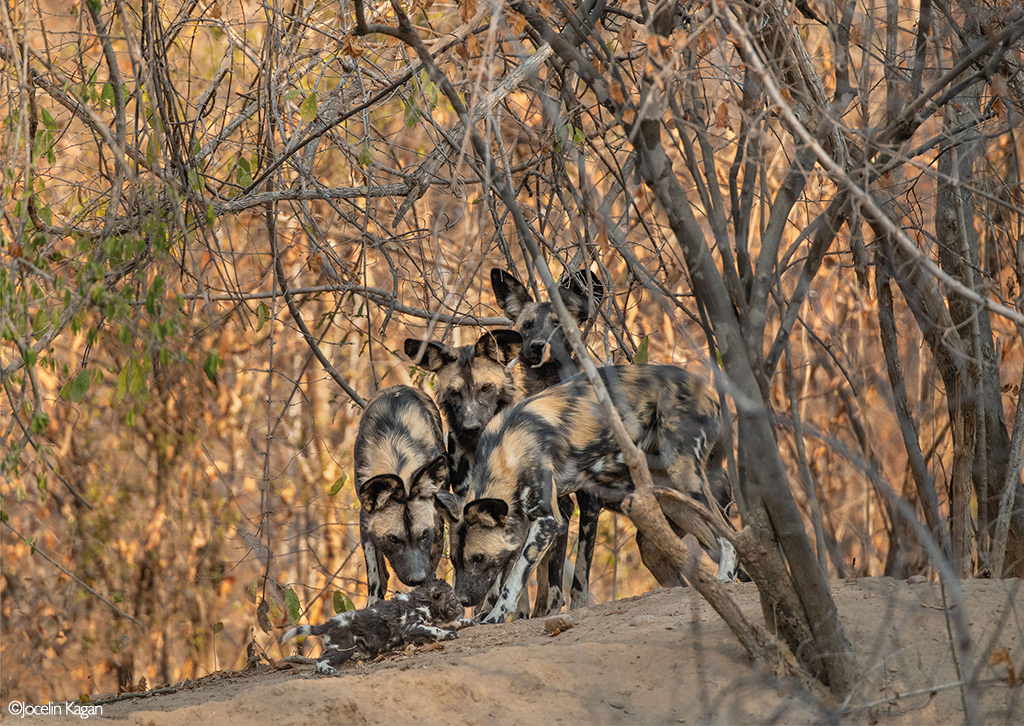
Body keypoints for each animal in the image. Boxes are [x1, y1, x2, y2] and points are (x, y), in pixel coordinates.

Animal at [284, 577, 468, 675]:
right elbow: (435, 629)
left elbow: (451, 623)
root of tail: (330, 622)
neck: (420, 601)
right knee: (320, 660)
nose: (462, 606)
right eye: (453, 599)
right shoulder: (411, 627)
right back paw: (327, 670)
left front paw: (467, 621)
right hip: (345, 648)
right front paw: (449, 634)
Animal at [354, 387, 450, 602]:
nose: (417, 578)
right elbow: (375, 577)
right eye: (393, 539)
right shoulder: (366, 522)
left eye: (424, 534)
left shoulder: (436, 521)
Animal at [452, 362, 741, 622]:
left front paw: (495, 616)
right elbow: (502, 577)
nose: (462, 600)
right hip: (671, 492)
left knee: (727, 534)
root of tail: (706, 388)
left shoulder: (549, 521)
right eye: (456, 561)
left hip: (684, 473)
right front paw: (482, 615)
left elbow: (513, 581)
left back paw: (725, 577)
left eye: (478, 558)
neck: (506, 453)